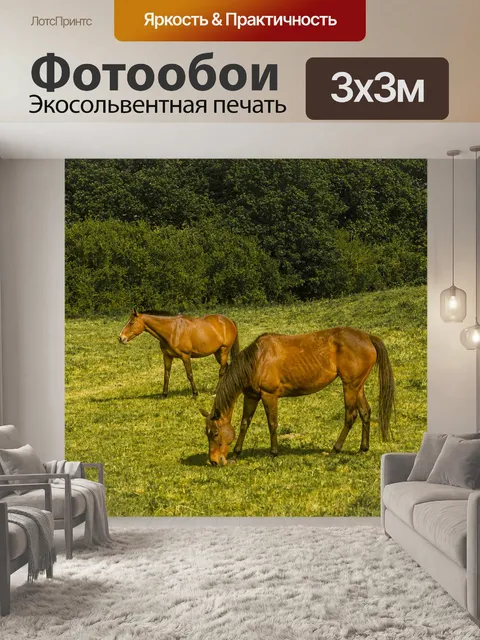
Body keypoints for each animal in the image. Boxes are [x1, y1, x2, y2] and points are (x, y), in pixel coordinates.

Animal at [200, 327, 394, 466]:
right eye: (207, 433)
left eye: (215, 433)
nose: (214, 461)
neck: (257, 359)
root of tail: (368, 337)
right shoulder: (252, 396)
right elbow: (244, 424)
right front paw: (235, 454)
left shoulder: (269, 395)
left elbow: (272, 424)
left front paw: (274, 453)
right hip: (357, 386)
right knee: (365, 412)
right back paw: (363, 449)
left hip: (350, 386)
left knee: (350, 415)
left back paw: (335, 449)